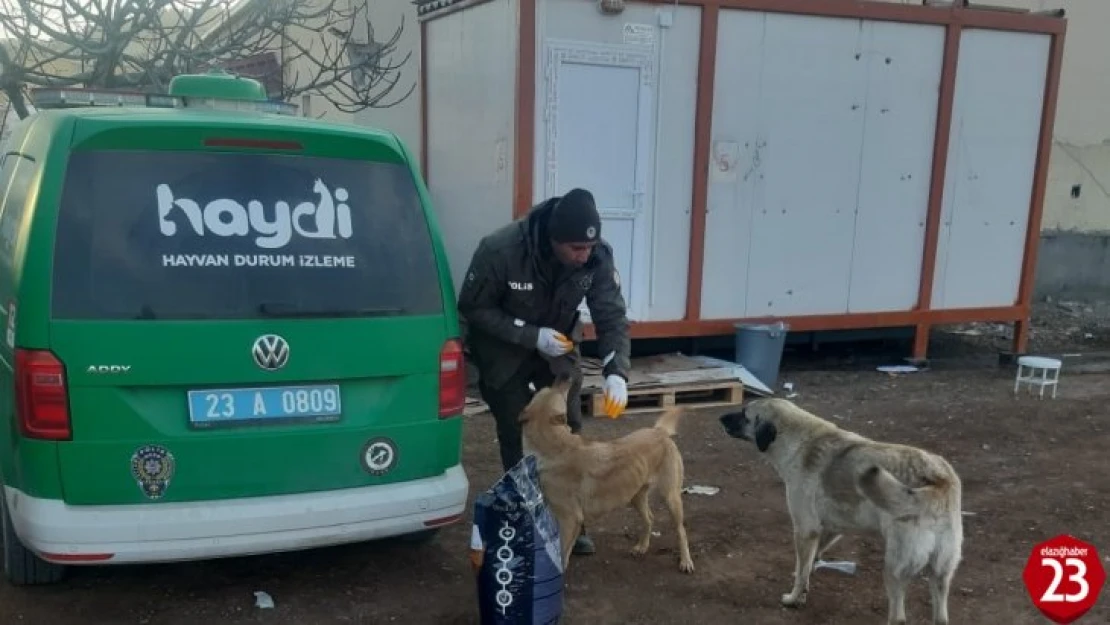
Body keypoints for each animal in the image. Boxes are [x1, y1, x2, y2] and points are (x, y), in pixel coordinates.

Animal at [519, 377, 692, 577]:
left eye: (559, 391)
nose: (565, 377)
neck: (554, 446)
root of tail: (659, 431)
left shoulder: (569, 519)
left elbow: (562, 554)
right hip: (635, 496)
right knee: (649, 518)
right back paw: (642, 546)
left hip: (670, 497)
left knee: (681, 530)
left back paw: (686, 561)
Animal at [719, 401, 963, 625]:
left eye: (744, 414)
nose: (720, 418)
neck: (798, 441)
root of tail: (939, 479)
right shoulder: (829, 528)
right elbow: (809, 563)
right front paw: (805, 585)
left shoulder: (804, 530)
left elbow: (801, 571)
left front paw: (794, 598)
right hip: (941, 574)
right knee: (941, 617)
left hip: (894, 570)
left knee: (898, 618)